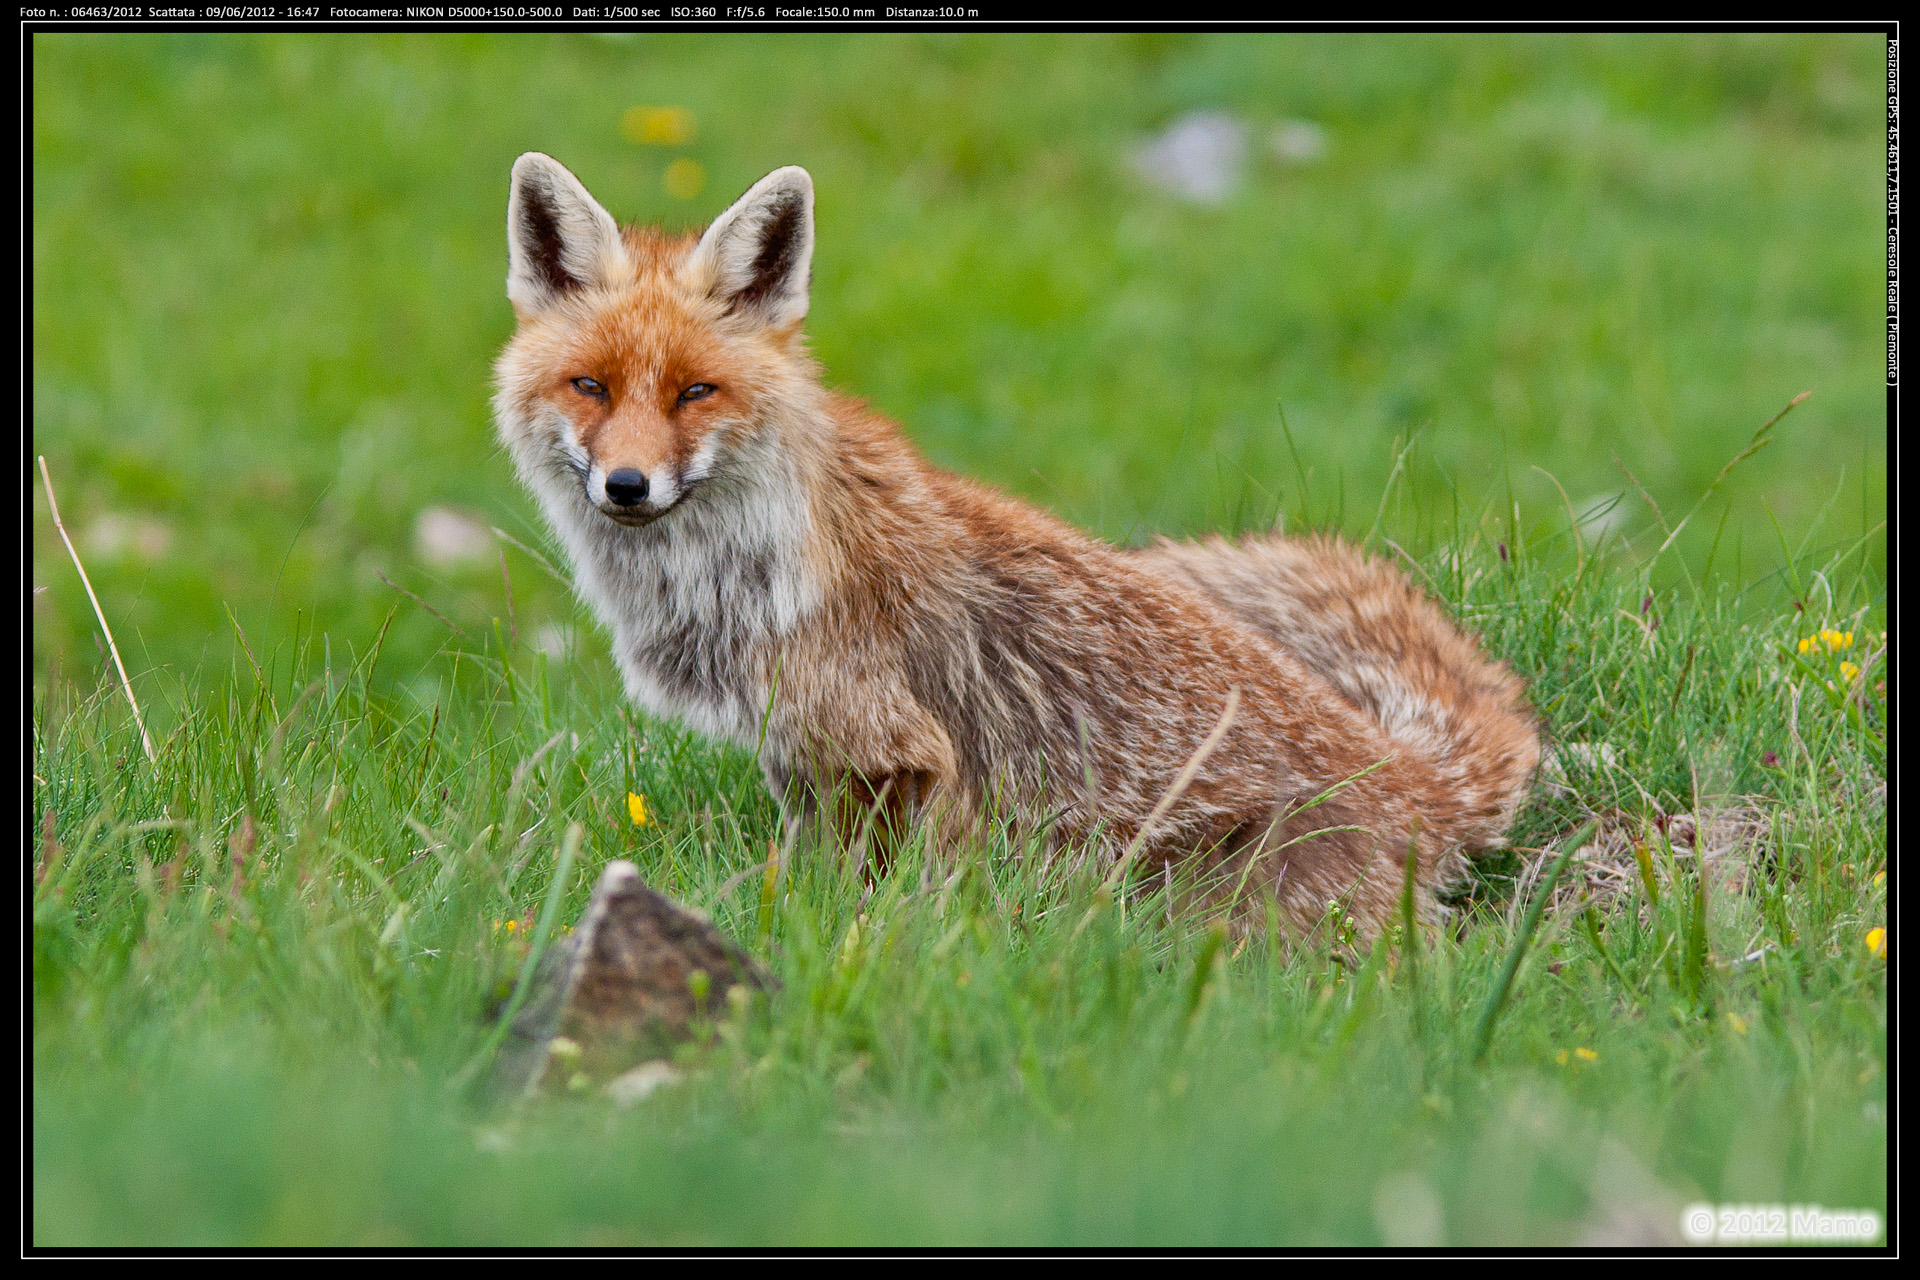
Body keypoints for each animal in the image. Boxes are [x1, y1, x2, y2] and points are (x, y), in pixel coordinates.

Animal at [492, 154, 1541, 940]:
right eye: (591, 387)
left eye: (695, 393)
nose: (628, 486)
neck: (742, 567)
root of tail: (1411, 776)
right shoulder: (800, 753)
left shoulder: (896, 755)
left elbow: (863, 900)